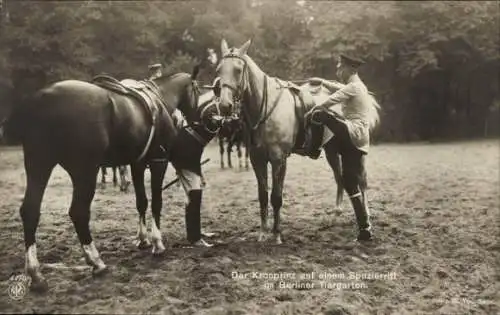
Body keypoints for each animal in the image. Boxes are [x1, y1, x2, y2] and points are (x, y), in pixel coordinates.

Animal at [8, 68, 200, 292]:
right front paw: (157, 243)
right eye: (196, 89)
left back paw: (35, 273)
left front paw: (142, 239)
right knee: (78, 212)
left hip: (39, 165)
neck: (160, 97)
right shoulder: (158, 162)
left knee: (30, 211)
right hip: (84, 172)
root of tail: (44, 98)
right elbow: (156, 203)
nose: (197, 119)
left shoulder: (137, 164)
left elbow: (142, 202)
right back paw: (96, 261)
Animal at [218, 39, 378, 244]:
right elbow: (263, 196)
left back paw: (366, 220)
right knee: (341, 179)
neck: (266, 107)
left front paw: (277, 234)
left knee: (361, 182)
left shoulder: (279, 159)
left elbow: (276, 197)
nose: (224, 106)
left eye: (238, 70)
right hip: (332, 151)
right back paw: (337, 213)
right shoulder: (257, 159)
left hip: (355, 154)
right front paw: (263, 232)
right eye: (219, 69)